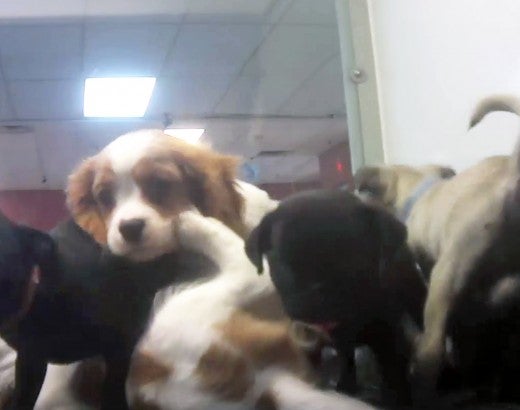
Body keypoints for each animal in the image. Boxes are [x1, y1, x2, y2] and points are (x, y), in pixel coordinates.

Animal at [245, 191, 426, 406]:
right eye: (284, 268)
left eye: (354, 264)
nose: (317, 289)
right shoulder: (314, 342)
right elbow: (329, 367)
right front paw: (337, 389)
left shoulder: (386, 337)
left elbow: (393, 374)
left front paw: (397, 398)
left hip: (413, 291)